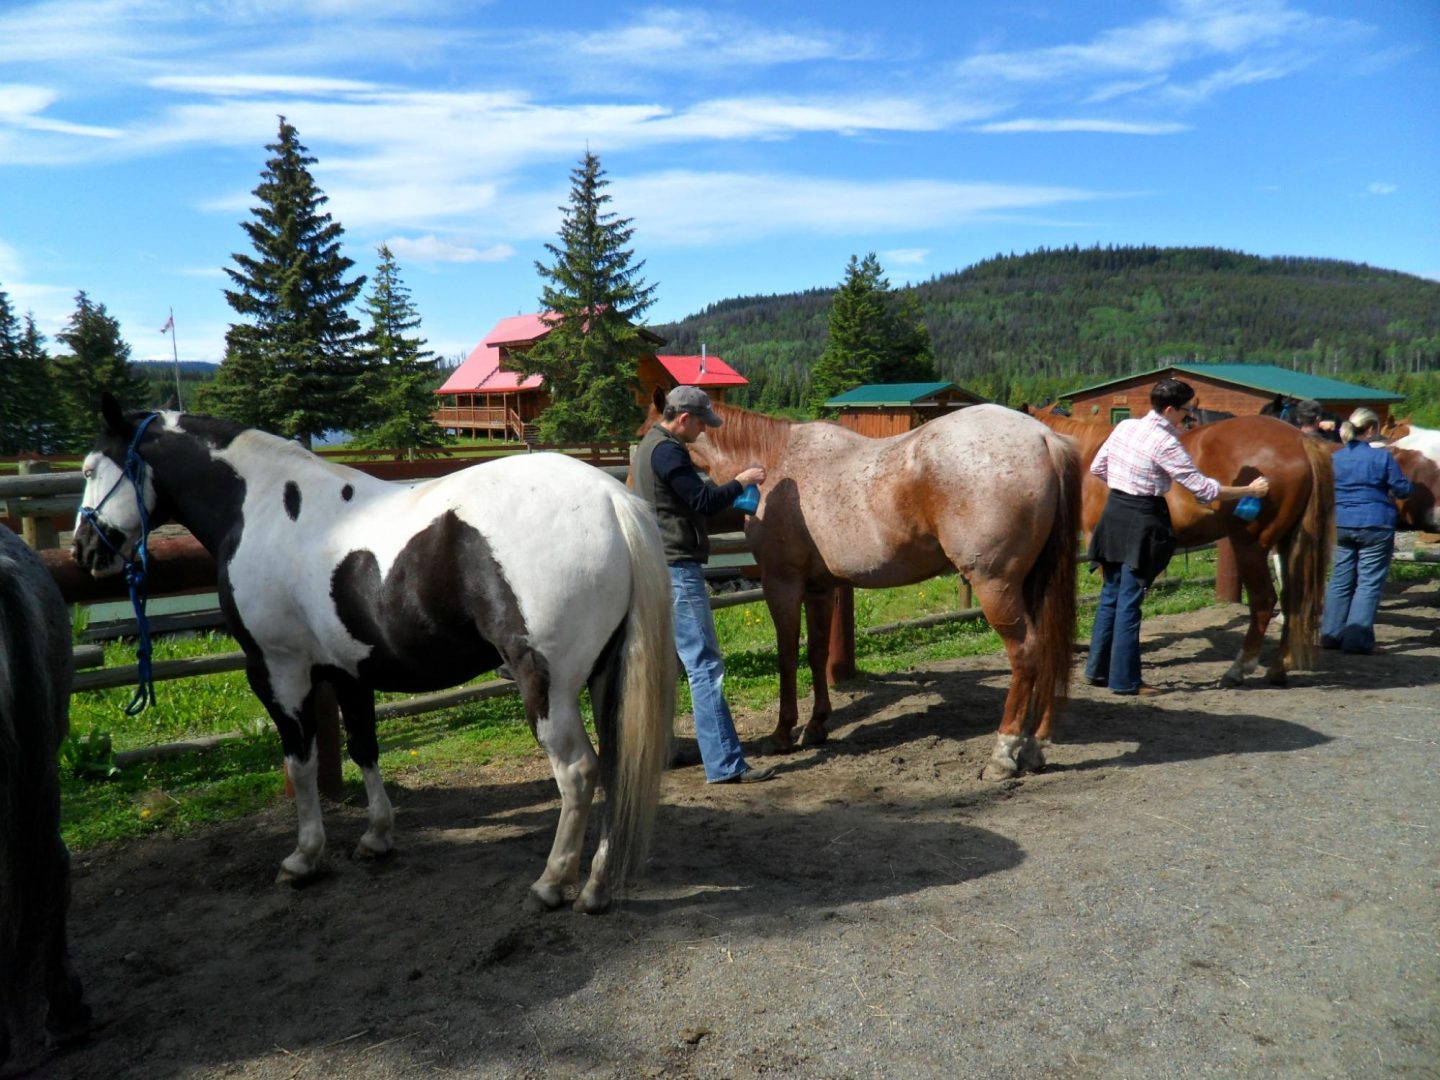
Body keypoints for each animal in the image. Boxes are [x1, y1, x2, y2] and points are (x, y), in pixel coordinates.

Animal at [78, 397, 679, 915]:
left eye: (88, 469)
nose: (85, 550)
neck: (264, 507)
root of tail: (610, 501)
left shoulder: (278, 670)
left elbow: (300, 762)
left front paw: (304, 856)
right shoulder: (348, 671)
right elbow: (363, 747)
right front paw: (376, 836)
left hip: (545, 683)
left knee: (577, 772)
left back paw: (551, 884)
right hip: (606, 675)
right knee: (615, 767)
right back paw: (595, 888)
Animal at [642, 394, 1082, 783]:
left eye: (644, 431)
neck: (778, 462)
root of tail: (1044, 438)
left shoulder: (782, 583)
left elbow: (787, 656)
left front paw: (783, 733)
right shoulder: (819, 589)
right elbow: (816, 653)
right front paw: (816, 726)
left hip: (996, 586)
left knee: (1026, 655)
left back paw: (1003, 754)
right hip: (1030, 584)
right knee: (1046, 649)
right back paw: (1034, 747)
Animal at [1031, 406, 1330, 685]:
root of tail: (1301, 441)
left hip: (1250, 546)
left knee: (1264, 601)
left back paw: (1238, 669)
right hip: (1287, 543)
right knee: (1293, 600)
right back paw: (1278, 668)